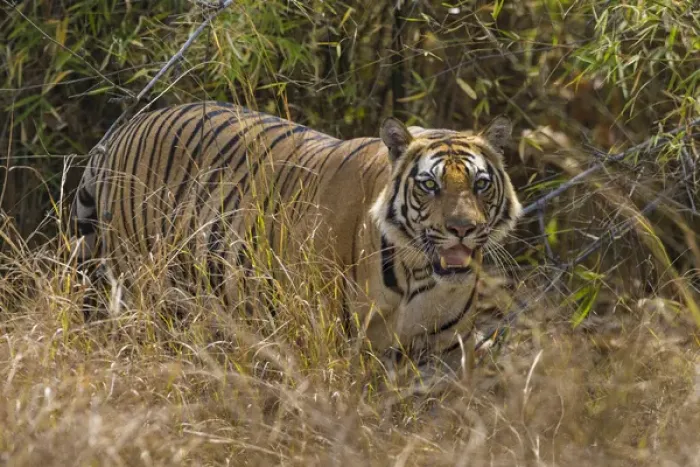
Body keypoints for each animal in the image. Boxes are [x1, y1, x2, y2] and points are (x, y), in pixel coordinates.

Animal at [70, 101, 522, 381]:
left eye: (481, 184)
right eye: (429, 185)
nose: (462, 228)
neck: (418, 272)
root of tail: (124, 129)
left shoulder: (445, 348)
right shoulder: (325, 343)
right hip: (147, 293)